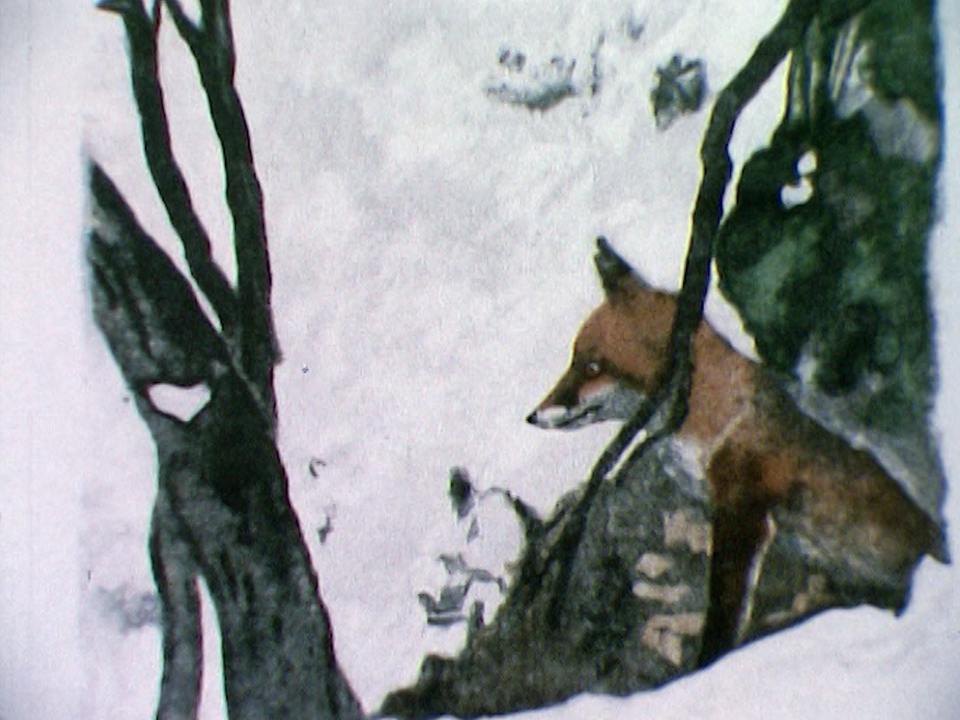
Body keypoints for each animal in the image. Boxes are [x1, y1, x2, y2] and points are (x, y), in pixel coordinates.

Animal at [527, 237, 948, 664]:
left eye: (592, 367)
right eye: (575, 361)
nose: (532, 416)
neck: (708, 417)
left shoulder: (744, 510)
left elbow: (725, 615)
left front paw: (707, 664)